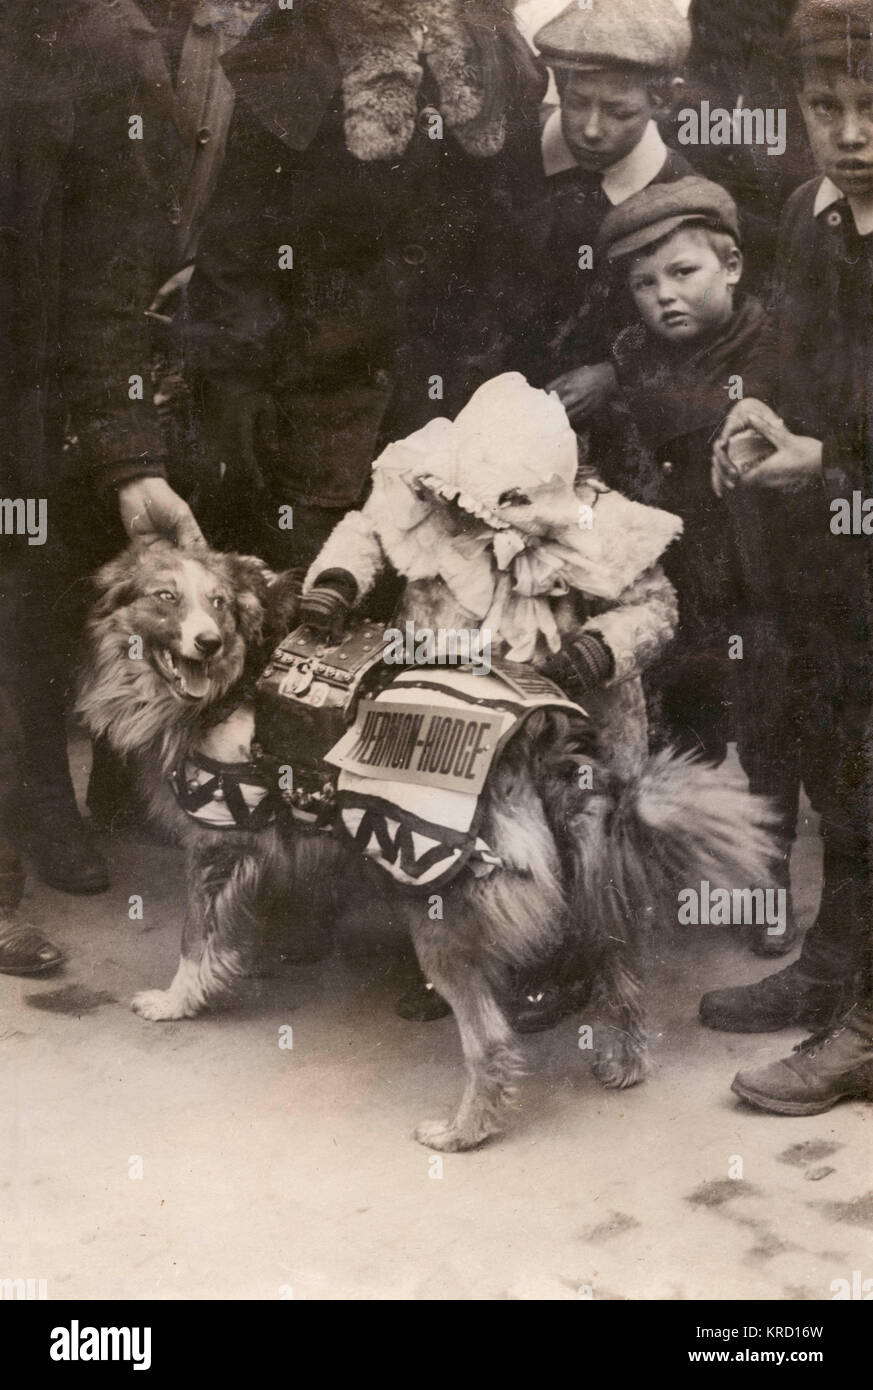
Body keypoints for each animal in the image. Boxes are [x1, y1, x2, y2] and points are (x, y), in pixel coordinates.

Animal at [78, 542, 772, 1150]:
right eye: (166, 597)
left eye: (218, 603)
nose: (207, 641)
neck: (246, 664)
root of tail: (533, 742)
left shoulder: (216, 836)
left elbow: (196, 936)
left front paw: (177, 1000)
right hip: (590, 887)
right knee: (621, 973)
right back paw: (622, 1063)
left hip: (441, 916)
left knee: (492, 1043)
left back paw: (465, 1132)